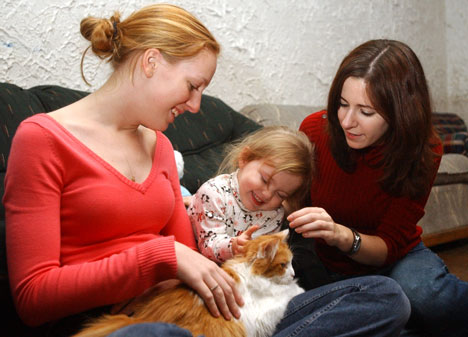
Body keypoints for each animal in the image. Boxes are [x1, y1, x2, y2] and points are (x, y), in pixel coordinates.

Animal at [73, 230, 304, 336]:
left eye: (292, 263)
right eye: (284, 264)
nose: (294, 273)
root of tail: (141, 317)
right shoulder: (263, 313)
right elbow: (291, 292)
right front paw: (298, 286)